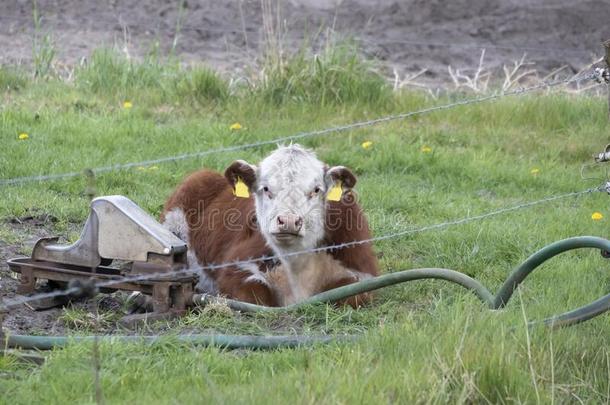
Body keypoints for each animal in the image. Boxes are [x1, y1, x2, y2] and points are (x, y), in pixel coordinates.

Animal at [164, 144, 378, 304]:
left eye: (316, 190)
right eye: (266, 188)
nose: (289, 221)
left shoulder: (363, 270)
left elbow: (350, 294)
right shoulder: (236, 266)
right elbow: (257, 297)